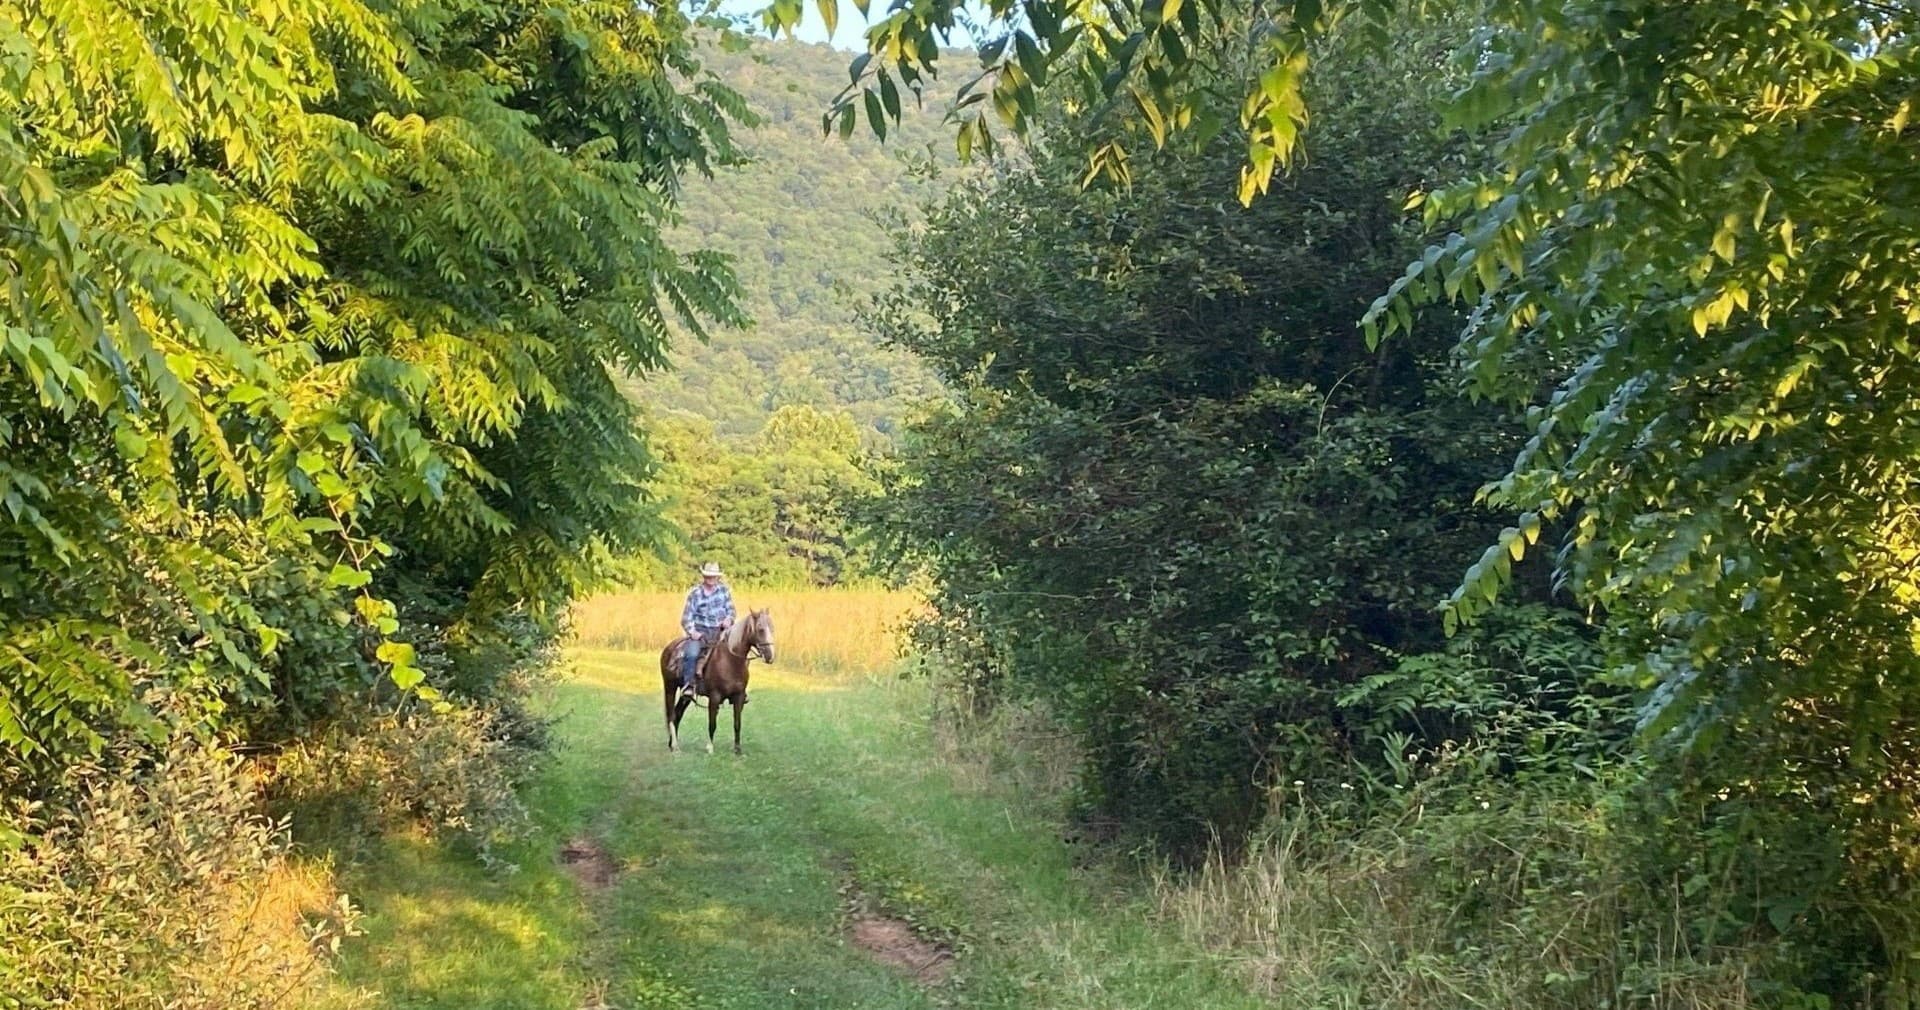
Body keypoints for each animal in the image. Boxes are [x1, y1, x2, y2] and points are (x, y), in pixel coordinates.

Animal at [660, 608, 774, 754]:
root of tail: (670, 647)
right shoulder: (714, 697)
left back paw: (672, 744)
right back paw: (674, 746)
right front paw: (710, 748)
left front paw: (737, 749)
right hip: (670, 687)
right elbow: (712, 723)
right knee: (671, 715)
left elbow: (737, 724)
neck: (730, 661)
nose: (770, 656)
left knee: (678, 713)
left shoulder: (739, 697)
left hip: (686, 695)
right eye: (760, 629)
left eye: (772, 628)